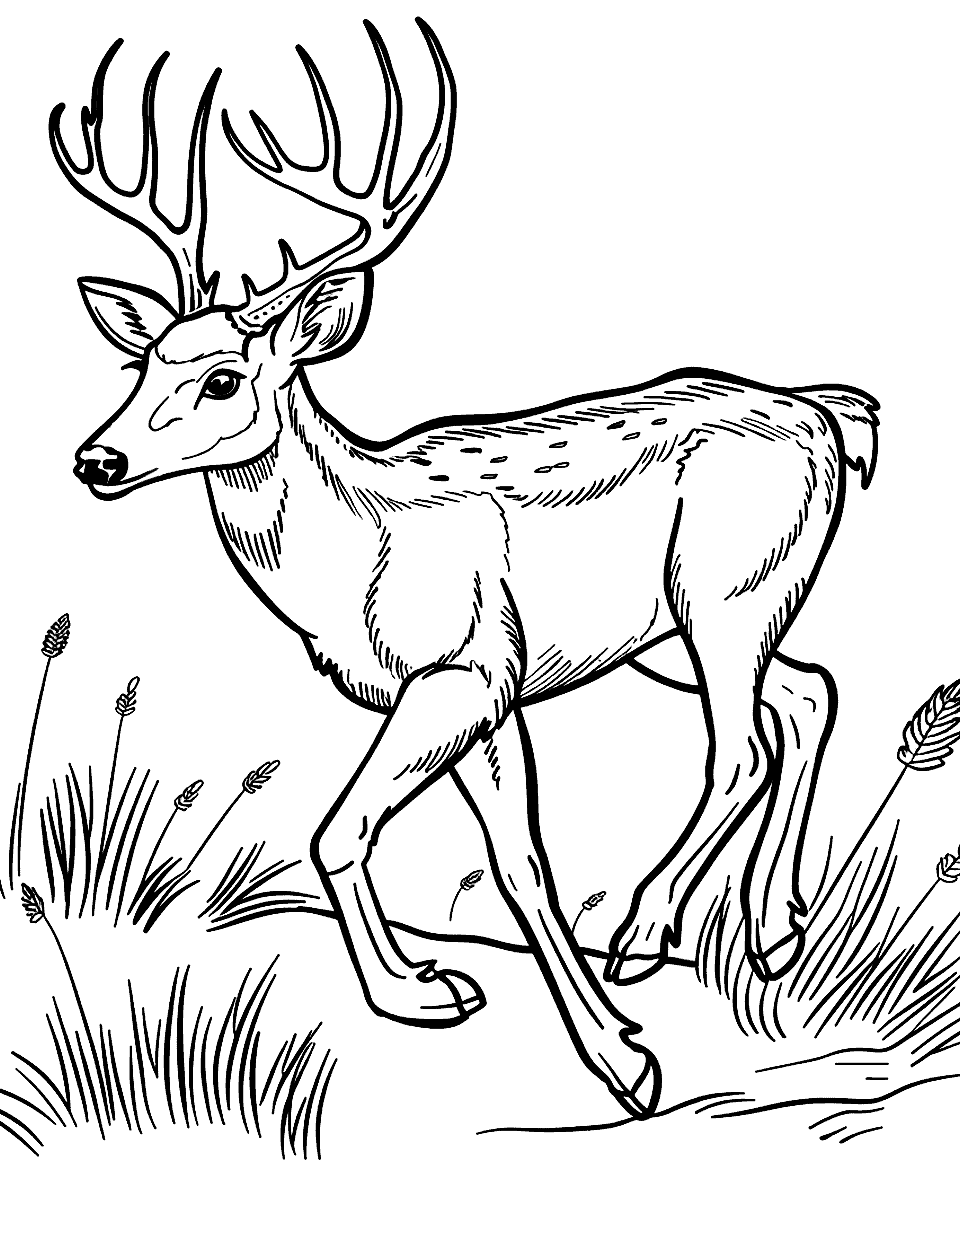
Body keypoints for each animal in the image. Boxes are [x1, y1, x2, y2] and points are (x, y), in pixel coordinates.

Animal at [52, 21, 878, 1120]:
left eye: (224, 379)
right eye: (141, 365)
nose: (95, 460)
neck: (356, 552)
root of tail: (829, 414)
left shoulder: (464, 668)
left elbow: (341, 830)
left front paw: (594, 1052)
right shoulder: (496, 692)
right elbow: (515, 858)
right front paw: (495, 1006)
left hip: (726, 593)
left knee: (741, 744)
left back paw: (648, 926)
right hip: (675, 629)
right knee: (806, 693)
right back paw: (773, 927)